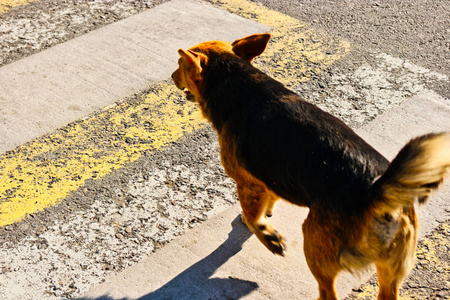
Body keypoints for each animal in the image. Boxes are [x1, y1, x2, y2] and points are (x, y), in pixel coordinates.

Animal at [171, 34, 450, 298]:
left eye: (180, 65)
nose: (171, 77)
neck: (237, 81)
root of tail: (376, 194)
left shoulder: (248, 184)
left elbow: (252, 218)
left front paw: (267, 235)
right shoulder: (268, 179)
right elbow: (268, 200)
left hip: (314, 243)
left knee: (328, 293)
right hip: (390, 271)